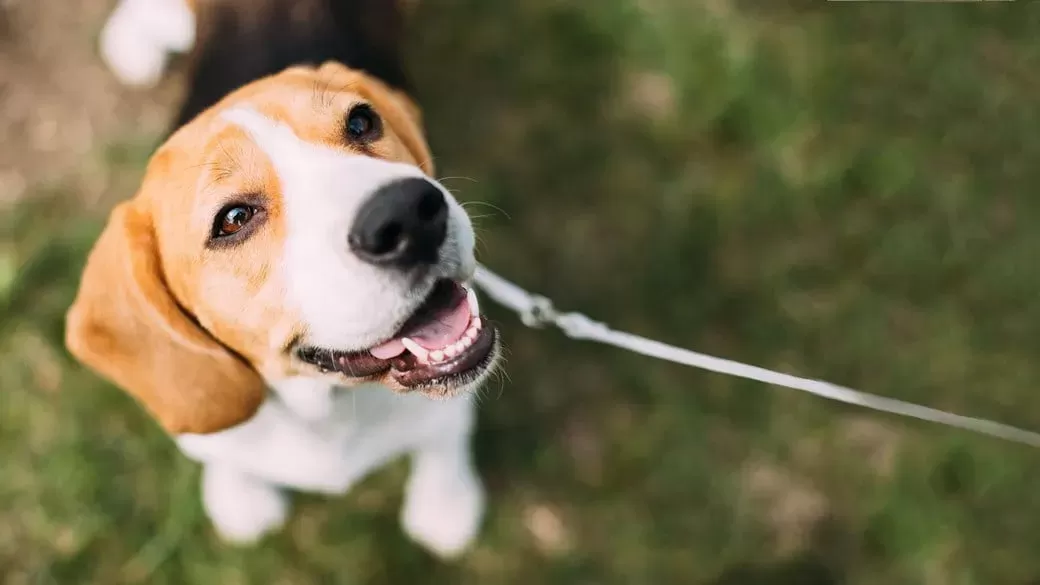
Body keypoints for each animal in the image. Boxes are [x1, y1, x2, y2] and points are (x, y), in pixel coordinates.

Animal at [66, 0, 503, 553]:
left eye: (361, 122)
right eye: (233, 219)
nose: (409, 215)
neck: (328, 407)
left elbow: (444, 437)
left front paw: (445, 503)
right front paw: (240, 496)